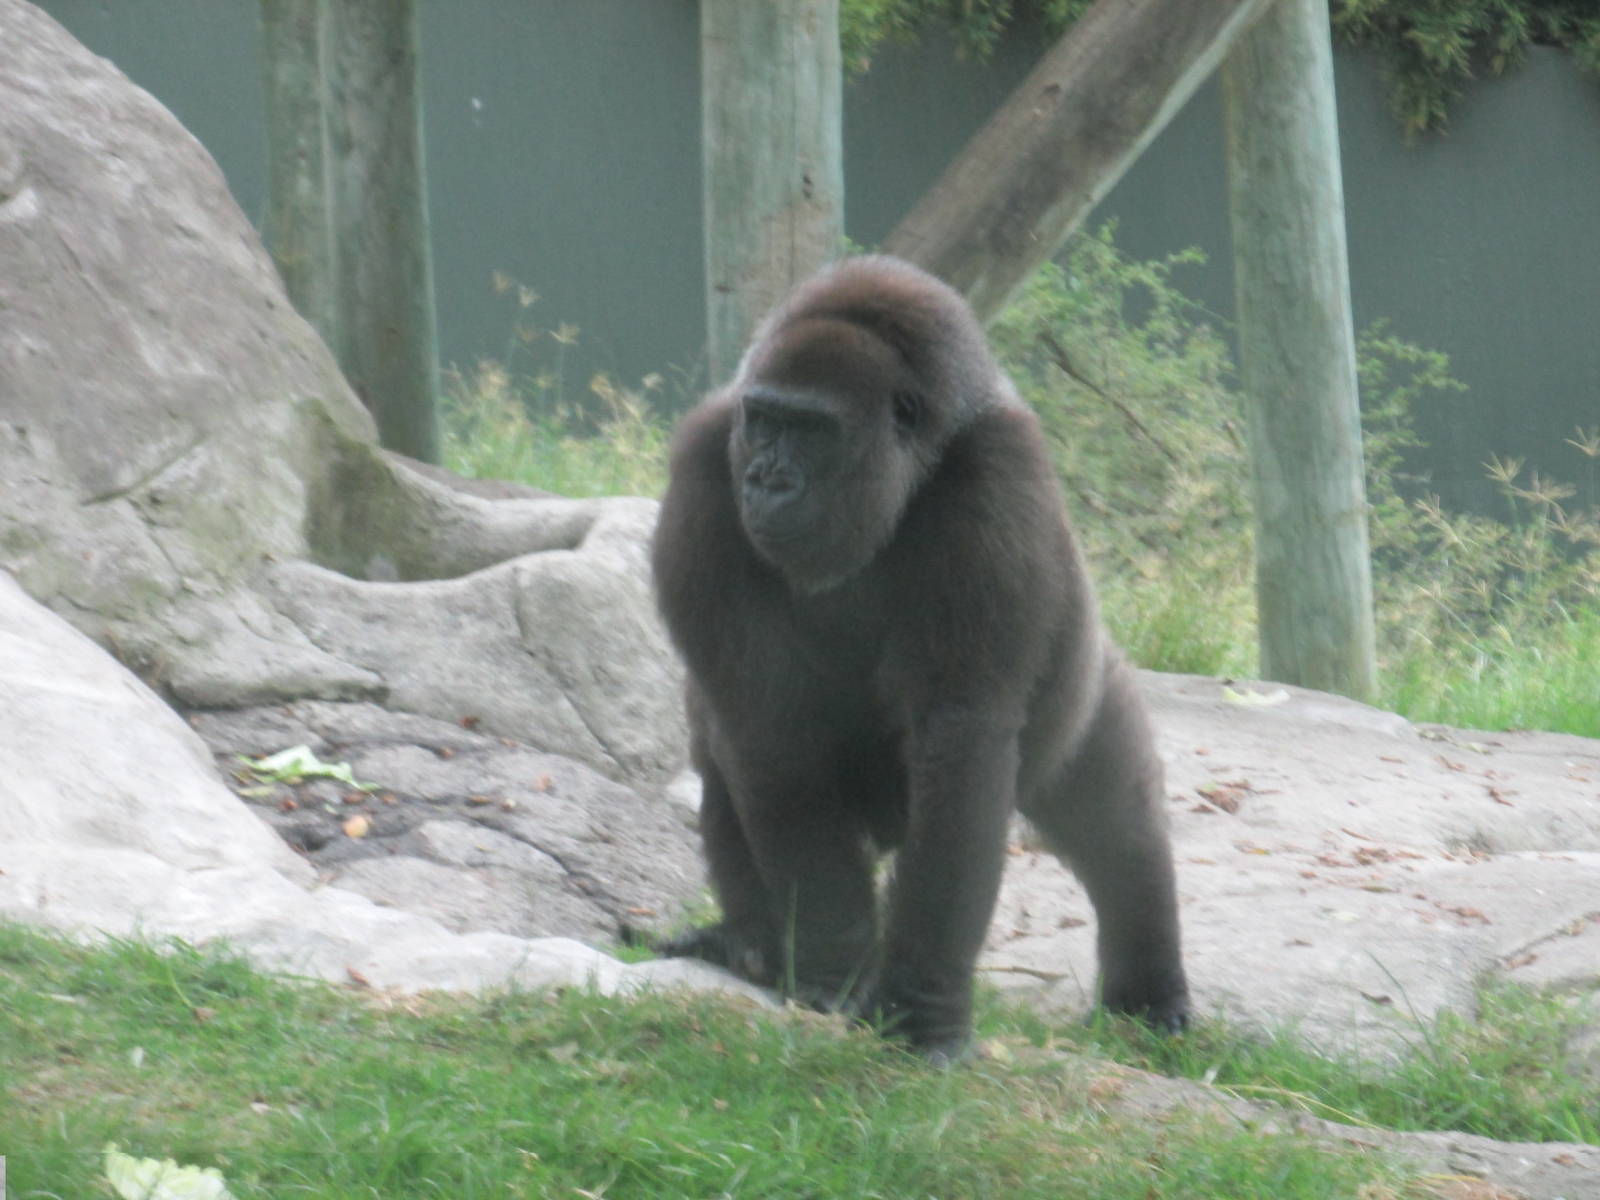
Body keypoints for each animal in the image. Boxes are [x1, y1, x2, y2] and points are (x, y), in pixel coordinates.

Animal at [648, 255, 1188, 1062]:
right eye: (766, 420)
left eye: (813, 430)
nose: (768, 480)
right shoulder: (705, 469)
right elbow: (765, 727)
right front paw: (834, 970)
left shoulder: (996, 472)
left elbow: (961, 732)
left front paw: (922, 1010)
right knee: (725, 765)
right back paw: (751, 944)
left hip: (1091, 682)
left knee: (1117, 822)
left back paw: (1149, 997)